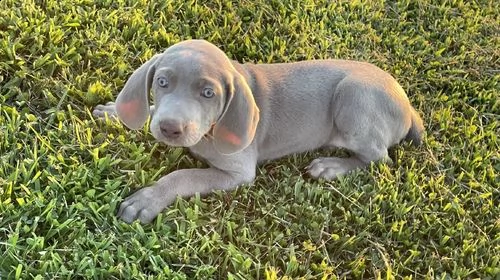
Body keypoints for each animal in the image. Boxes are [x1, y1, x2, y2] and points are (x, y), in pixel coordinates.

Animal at [92, 38, 424, 223]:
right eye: (162, 82)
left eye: (208, 93)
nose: (170, 128)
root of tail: (408, 106)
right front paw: (114, 113)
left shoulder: (238, 173)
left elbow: (182, 176)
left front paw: (147, 200)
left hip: (353, 95)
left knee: (380, 159)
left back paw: (331, 166)